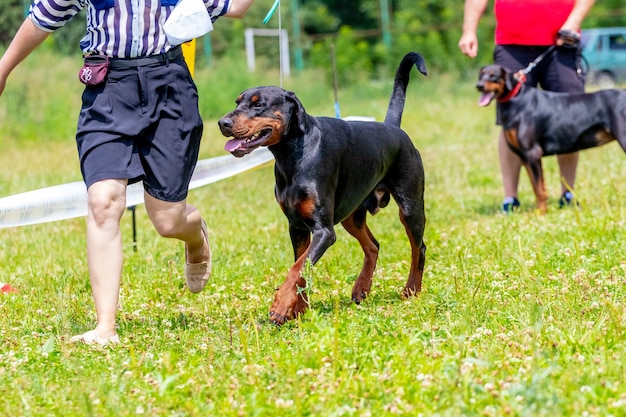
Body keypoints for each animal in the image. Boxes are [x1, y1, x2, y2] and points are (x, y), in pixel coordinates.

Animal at [217, 51, 426, 324]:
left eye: (258, 104)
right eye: (237, 102)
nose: (223, 122)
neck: (293, 155)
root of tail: (393, 127)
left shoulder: (324, 231)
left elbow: (298, 267)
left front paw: (281, 305)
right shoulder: (297, 226)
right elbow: (301, 265)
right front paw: (297, 308)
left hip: (410, 206)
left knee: (418, 247)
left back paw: (411, 289)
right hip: (351, 215)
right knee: (373, 245)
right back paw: (361, 287)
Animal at [476, 63, 624, 213]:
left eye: (493, 75)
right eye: (481, 75)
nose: (479, 86)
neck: (515, 100)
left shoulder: (533, 152)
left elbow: (540, 189)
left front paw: (540, 212)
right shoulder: (524, 156)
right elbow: (536, 186)